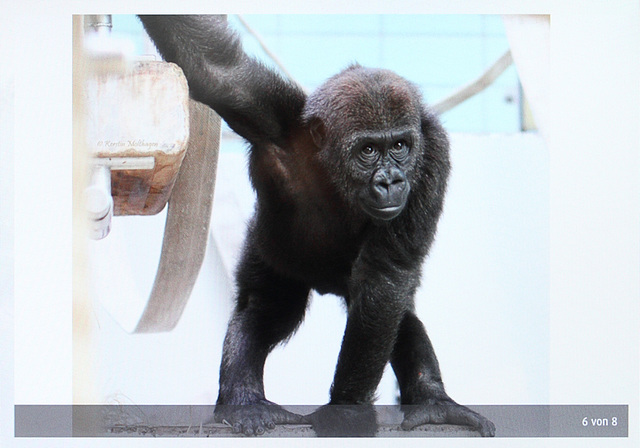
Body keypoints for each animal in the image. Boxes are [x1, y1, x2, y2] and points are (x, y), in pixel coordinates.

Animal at [139, 14, 496, 438]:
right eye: (368, 150)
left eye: (400, 147)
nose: (391, 180)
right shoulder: (272, 113)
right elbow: (215, 70)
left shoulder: (433, 155)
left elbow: (386, 280)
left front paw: (346, 412)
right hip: (270, 253)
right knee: (266, 308)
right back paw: (244, 400)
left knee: (396, 313)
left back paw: (433, 401)